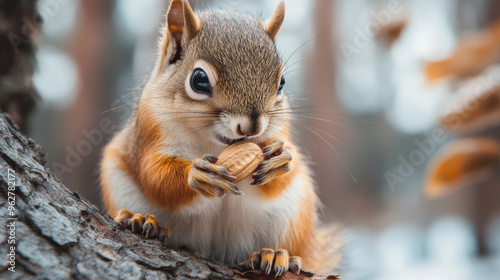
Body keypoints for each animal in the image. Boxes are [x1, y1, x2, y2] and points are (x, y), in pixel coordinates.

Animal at [99, 0, 342, 276]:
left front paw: (282, 158)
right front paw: (197, 174)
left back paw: (275, 254)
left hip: (294, 215)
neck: (215, 143)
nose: (252, 127)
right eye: (199, 80)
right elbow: (154, 175)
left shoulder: (279, 131)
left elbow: (280, 174)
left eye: (281, 83)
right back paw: (141, 221)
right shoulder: (149, 133)